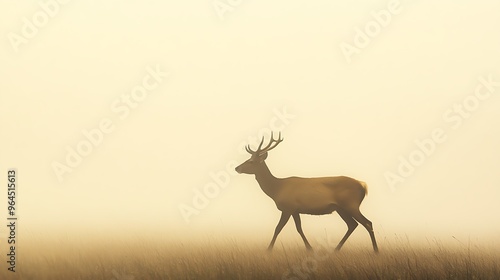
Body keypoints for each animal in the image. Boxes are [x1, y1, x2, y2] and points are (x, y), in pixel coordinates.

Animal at [235, 132, 378, 253]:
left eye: (251, 161)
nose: (237, 168)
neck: (276, 189)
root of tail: (363, 186)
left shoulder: (287, 207)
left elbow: (278, 228)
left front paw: (268, 250)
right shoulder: (295, 210)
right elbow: (299, 228)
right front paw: (310, 248)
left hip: (351, 205)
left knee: (367, 223)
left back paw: (375, 250)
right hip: (340, 208)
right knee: (352, 225)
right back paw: (336, 250)